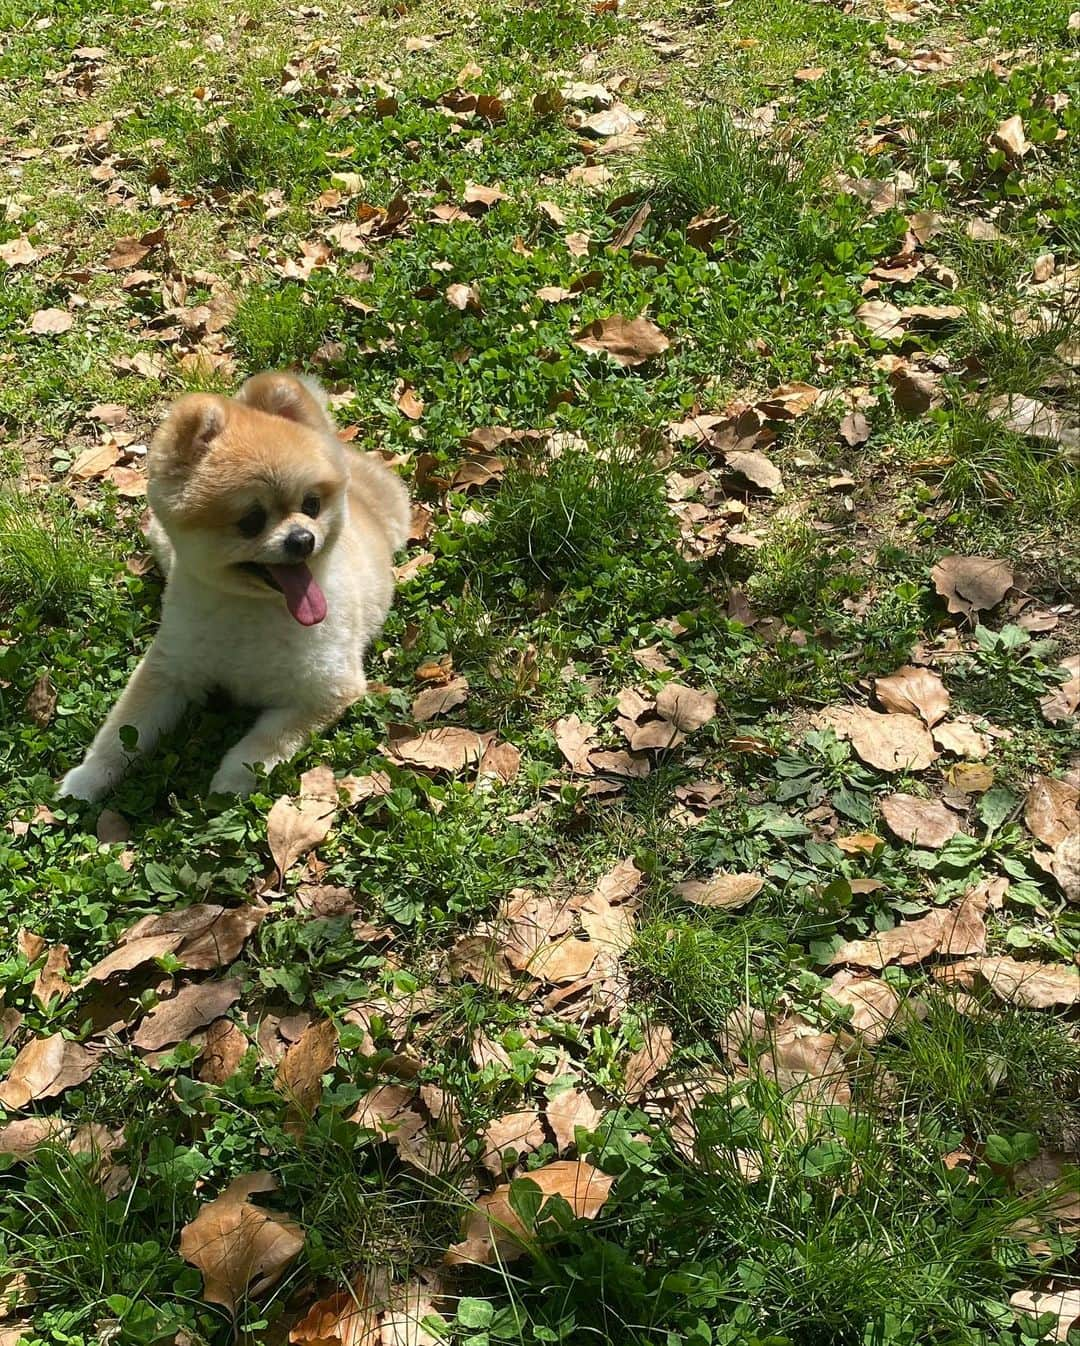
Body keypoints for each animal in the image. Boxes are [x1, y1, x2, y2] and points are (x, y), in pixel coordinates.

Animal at [60, 368, 409, 796]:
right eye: (251, 521)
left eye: (311, 505)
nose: (302, 539)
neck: (254, 607)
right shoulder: (171, 667)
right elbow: (125, 728)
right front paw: (88, 778)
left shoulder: (326, 690)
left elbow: (265, 741)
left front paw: (230, 780)